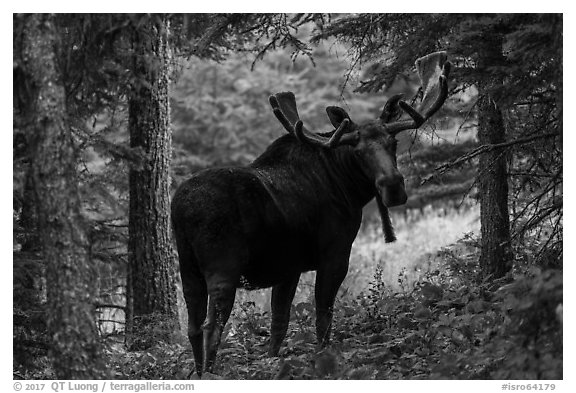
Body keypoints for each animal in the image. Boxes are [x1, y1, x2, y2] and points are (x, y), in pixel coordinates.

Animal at [171, 52, 450, 374]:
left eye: (393, 143)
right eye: (358, 152)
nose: (392, 186)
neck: (349, 188)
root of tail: (179, 208)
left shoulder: (288, 268)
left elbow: (279, 324)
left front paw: (274, 364)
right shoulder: (335, 253)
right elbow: (323, 316)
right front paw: (324, 359)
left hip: (188, 268)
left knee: (192, 327)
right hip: (223, 267)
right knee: (211, 327)